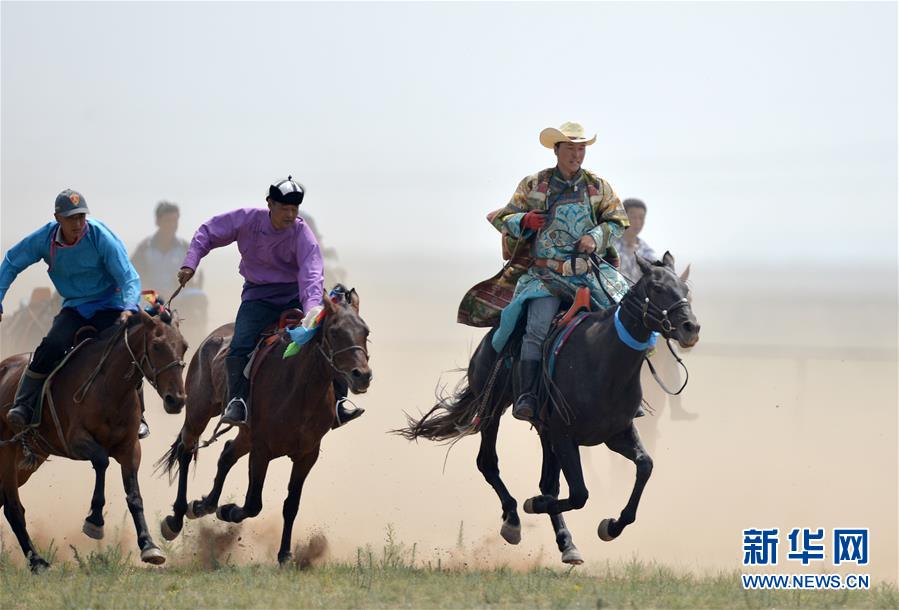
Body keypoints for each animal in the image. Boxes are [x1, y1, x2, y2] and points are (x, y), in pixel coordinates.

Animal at [0, 308, 187, 568]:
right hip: (7, 454)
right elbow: (101, 460)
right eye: (157, 345)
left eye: (185, 346)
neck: (109, 387)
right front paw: (95, 520)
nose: (176, 399)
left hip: (28, 461)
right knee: (13, 508)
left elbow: (134, 497)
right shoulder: (76, 441)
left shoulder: (130, 448)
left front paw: (149, 545)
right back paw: (37, 561)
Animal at [159, 288, 372, 564]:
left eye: (365, 331)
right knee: (187, 451)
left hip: (245, 434)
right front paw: (228, 511)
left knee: (226, 453)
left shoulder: (307, 454)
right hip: (199, 411)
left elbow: (291, 505)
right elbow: (253, 504)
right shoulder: (261, 450)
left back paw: (204, 505)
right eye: (334, 331)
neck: (300, 390)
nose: (363, 375)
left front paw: (285, 554)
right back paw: (176, 519)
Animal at [400, 251, 704, 560]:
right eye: (657, 287)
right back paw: (513, 520)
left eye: (685, 289)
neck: (604, 360)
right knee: (488, 463)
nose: (690, 328)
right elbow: (578, 494)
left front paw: (611, 526)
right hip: (492, 410)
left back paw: (566, 543)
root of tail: (487, 342)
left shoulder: (615, 433)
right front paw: (533, 504)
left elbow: (644, 466)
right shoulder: (564, 435)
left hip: (544, 432)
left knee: (548, 483)